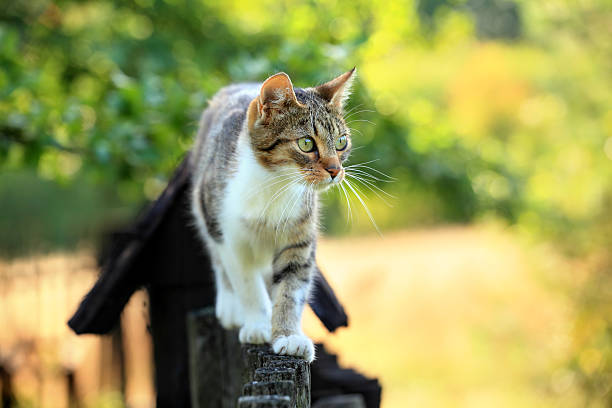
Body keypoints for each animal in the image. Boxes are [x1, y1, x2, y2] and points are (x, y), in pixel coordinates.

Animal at [189, 68, 356, 362]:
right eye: (306, 143)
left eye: (341, 142)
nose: (336, 170)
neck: (275, 186)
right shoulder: (230, 236)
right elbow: (246, 282)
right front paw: (258, 324)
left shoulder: (300, 237)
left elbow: (292, 287)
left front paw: (288, 336)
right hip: (205, 207)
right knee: (218, 259)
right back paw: (230, 306)